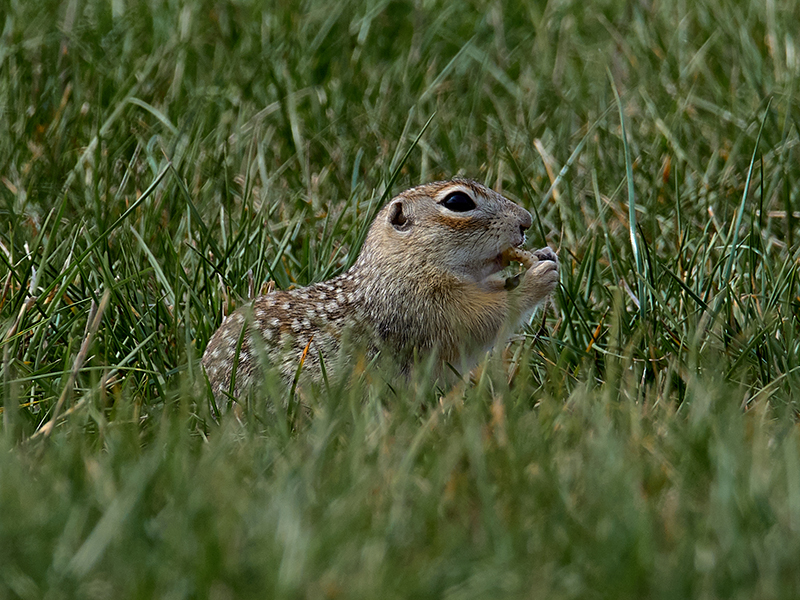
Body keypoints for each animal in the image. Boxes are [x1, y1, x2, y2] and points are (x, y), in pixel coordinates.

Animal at [203, 178, 560, 404]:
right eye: (457, 201)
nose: (526, 221)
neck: (400, 266)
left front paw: (545, 256)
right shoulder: (424, 306)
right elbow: (484, 317)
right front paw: (538, 278)